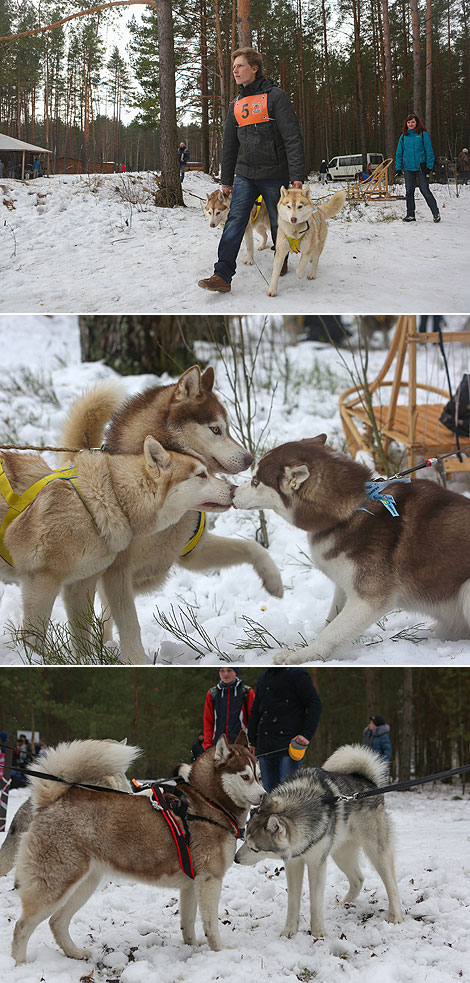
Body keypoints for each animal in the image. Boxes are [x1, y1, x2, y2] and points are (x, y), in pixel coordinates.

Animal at [237, 744, 402, 936]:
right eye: (244, 839)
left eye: (254, 848)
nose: (235, 859)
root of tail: (367, 781)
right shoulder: (293, 863)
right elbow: (293, 901)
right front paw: (289, 931)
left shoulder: (317, 864)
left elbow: (315, 904)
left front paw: (318, 933)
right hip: (341, 856)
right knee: (358, 880)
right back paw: (342, 905)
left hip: (376, 852)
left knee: (392, 885)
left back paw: (396, 917)